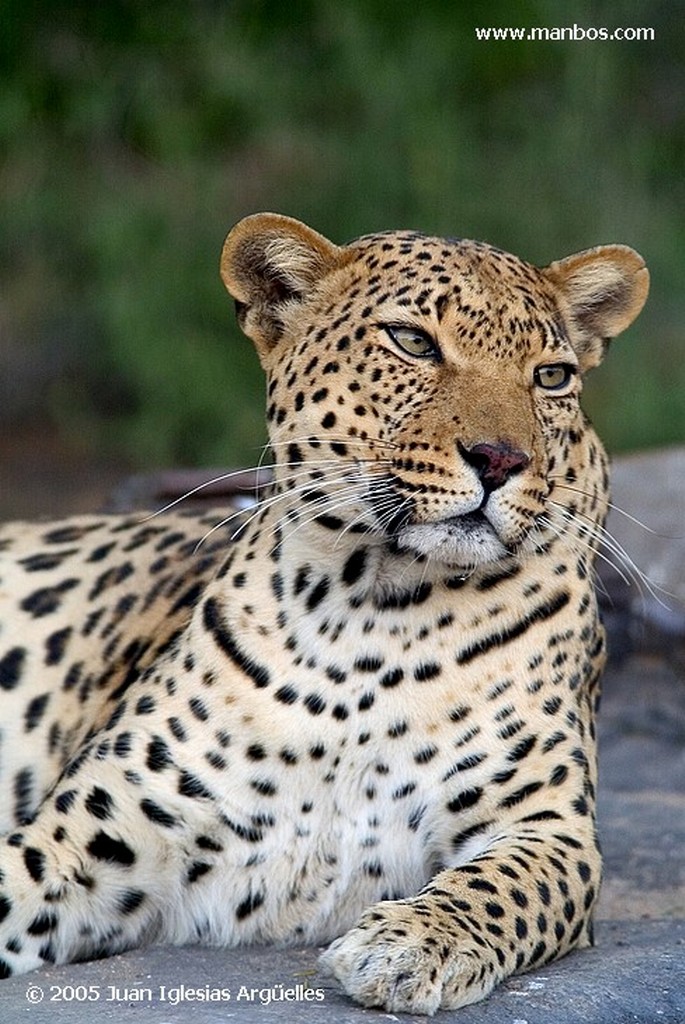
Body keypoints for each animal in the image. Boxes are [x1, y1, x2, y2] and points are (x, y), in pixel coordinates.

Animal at [0, 211, 647, 1011]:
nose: (500, 460)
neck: (373, 610)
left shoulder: (548, 828)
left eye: (551, 377)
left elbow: (498, 888)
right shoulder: (89, 841)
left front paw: (407, 945)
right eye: (413, 342)